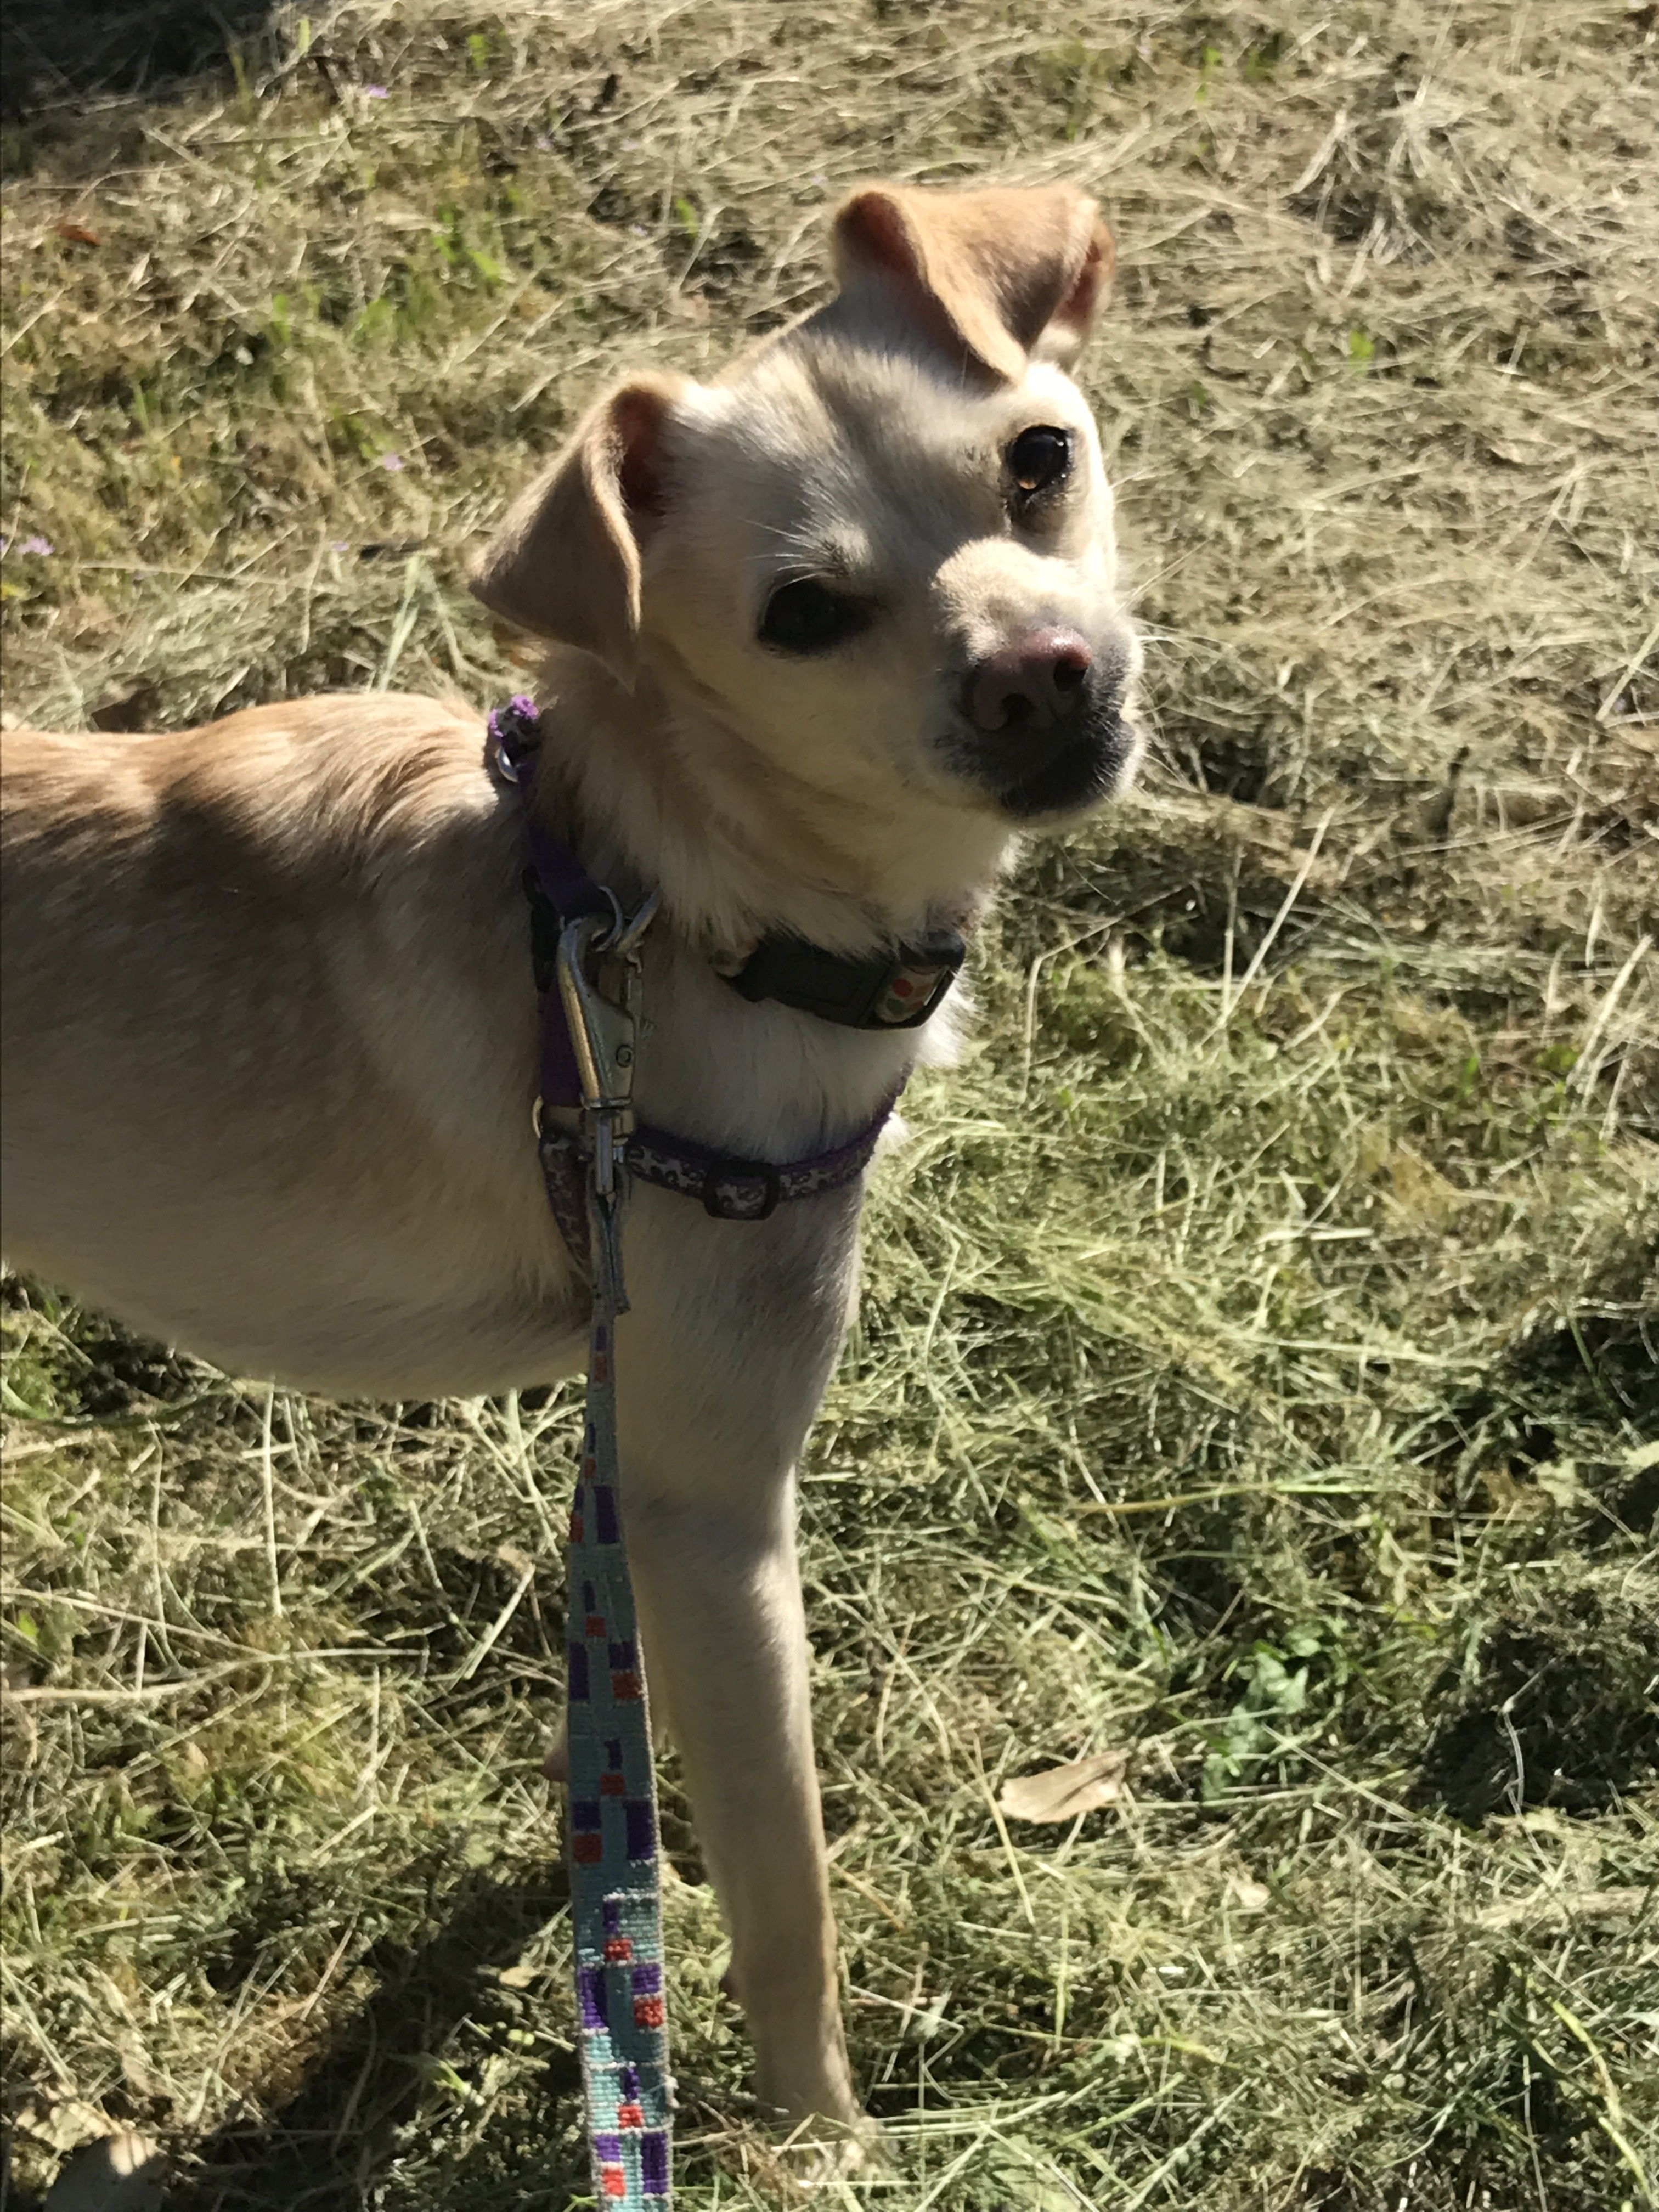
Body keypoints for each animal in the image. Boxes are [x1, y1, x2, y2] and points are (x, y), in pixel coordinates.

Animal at [0, 181, 1141, 2150]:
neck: (666, 901)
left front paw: (598, 1876)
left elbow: (636, 1758)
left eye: (1038, 464)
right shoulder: (713, 1507)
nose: (1042, 675)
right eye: (802, 614)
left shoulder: (639, 1469)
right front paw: (824, 2141)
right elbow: (786, 1895)